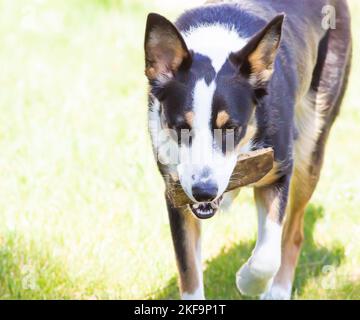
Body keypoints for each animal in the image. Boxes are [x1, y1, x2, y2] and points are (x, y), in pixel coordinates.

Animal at [143, 0, 352, 300]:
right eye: (181, 126)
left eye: (231, 127)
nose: (204, 191)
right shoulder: (176, 194)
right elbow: (188, 271)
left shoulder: (278, 172)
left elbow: (267, 256)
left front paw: (248, 282)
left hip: (312, 142)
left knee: (294, 233)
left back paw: (278, 291)